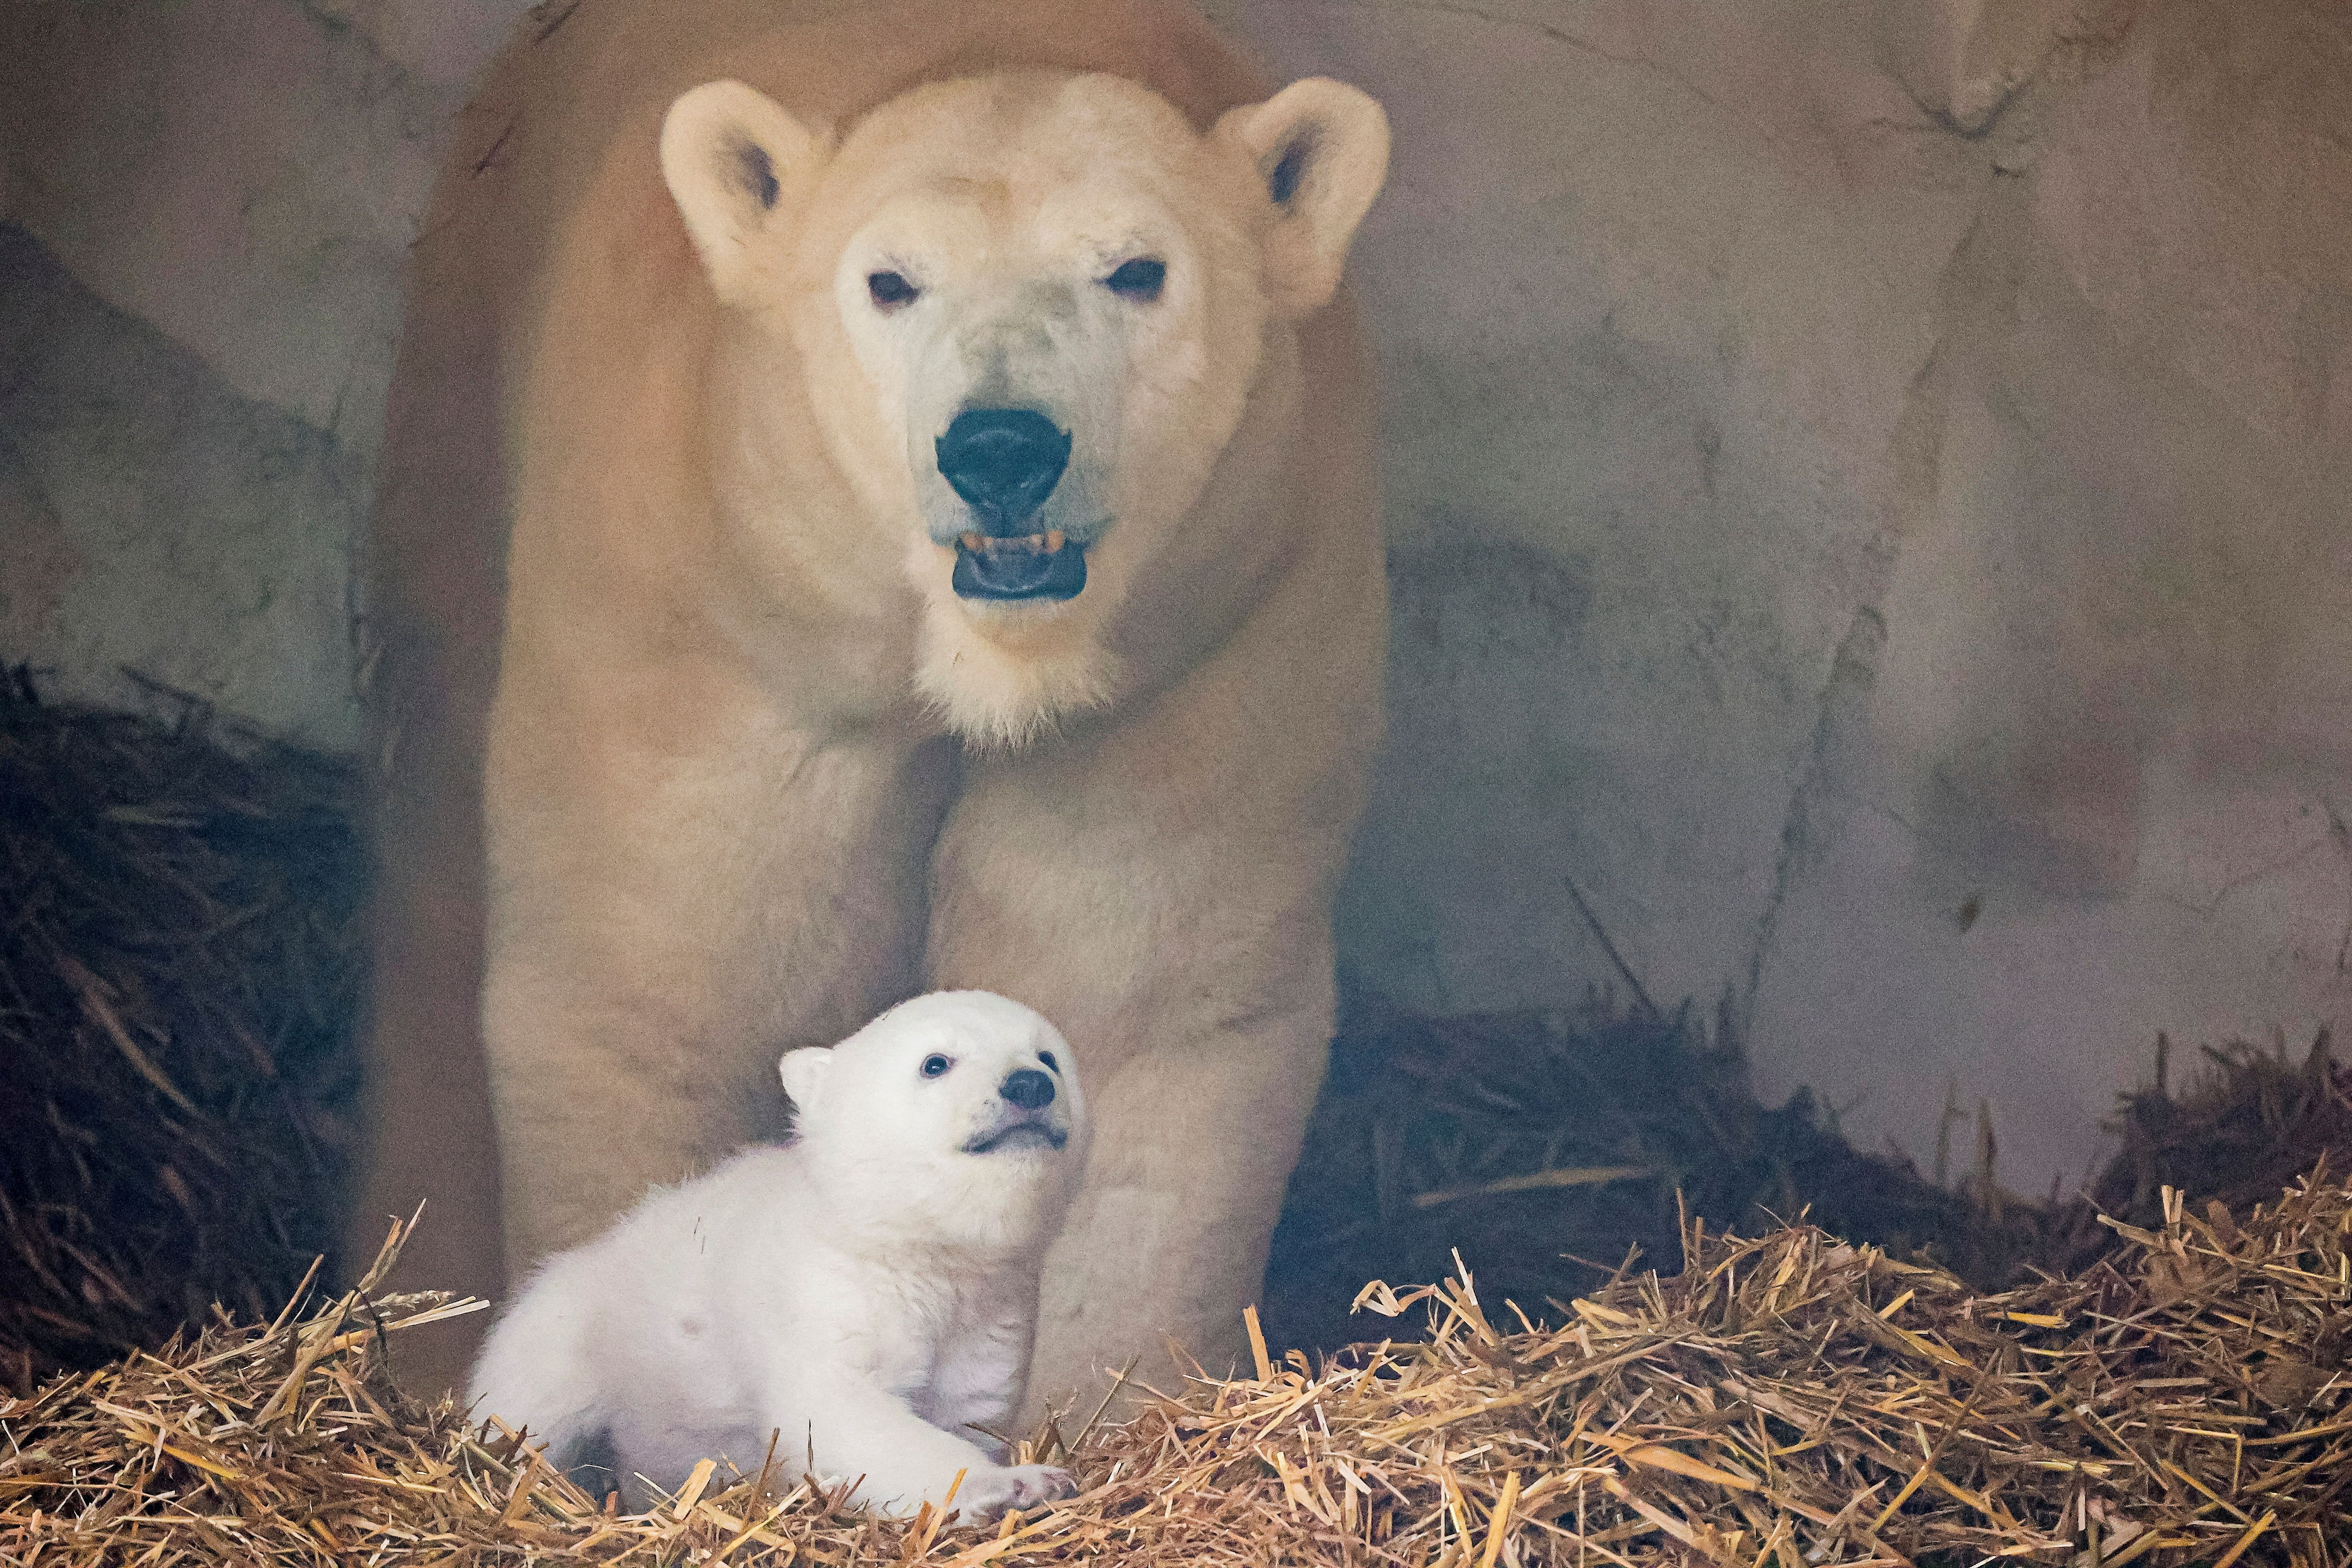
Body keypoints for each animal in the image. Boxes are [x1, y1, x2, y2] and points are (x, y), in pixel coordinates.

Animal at [354, 0, 1391, 1419]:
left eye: (1137, 271)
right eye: (890, 282)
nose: (1002, 447)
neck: (988, 674)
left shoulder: (1200, 648)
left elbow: (1134, 1006)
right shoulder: (714, 619)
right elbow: (659, 985)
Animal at [466, 992, 1088, 1520]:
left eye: (1048, 1056)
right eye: (936, 1063)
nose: (1030, 1085)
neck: (913, 1249)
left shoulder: (989, 1314)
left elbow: (969, 1409)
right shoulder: (826, 1292)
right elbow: (841, 1412)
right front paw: (1022, 1482)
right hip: (570, 1330)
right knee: (529, 1394)